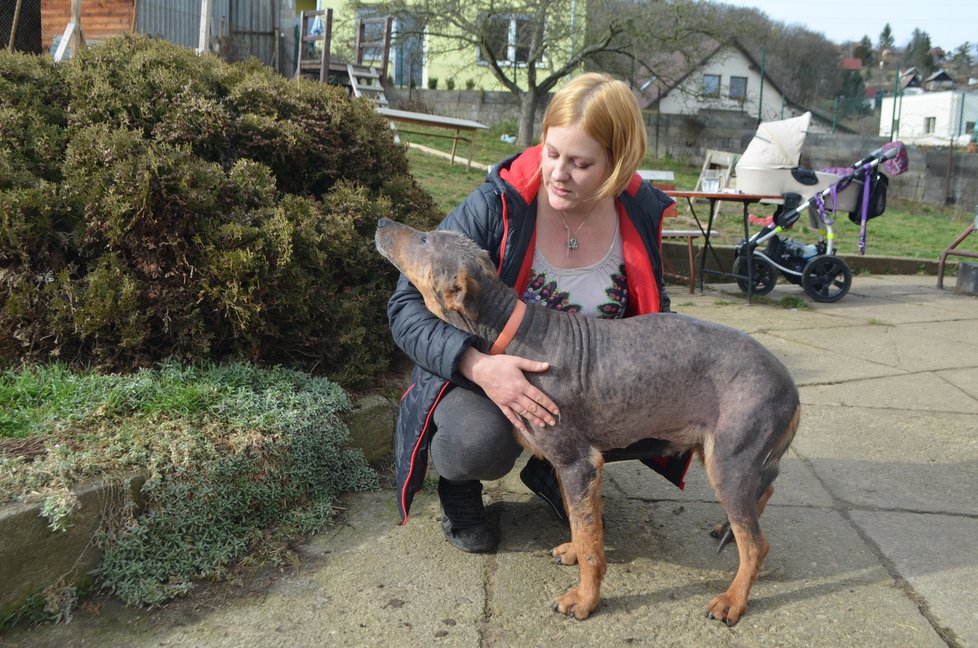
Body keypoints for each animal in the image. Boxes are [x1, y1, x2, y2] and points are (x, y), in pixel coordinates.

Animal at [376, 220, 800, 624]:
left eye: (425, 240)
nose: (380, 222)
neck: (512, 329)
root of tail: (791, 389)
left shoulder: (578, 463)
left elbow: (590, 537)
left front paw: (585, 599)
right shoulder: (574, 468)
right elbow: (582, 527)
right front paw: (574, 553)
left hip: (729, 460)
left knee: (756, 544)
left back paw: (732, 600)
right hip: (719, 453)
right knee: (763, 494)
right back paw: (727, 529)